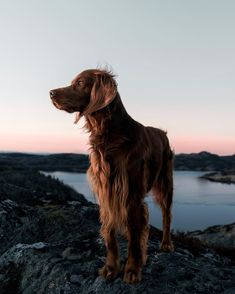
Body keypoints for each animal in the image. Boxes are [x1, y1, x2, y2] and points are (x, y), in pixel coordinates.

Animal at [50, 68, 174, 282]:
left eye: (80, 83)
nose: (51, 93)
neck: (108, 134)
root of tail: (162, 133)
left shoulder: (131, 194)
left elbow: (134, 238)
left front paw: (132, 270)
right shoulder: (106, 191)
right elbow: (110, 233)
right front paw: (110, 267)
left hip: (165, 184)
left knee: (166, 216)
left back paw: (166, 244)